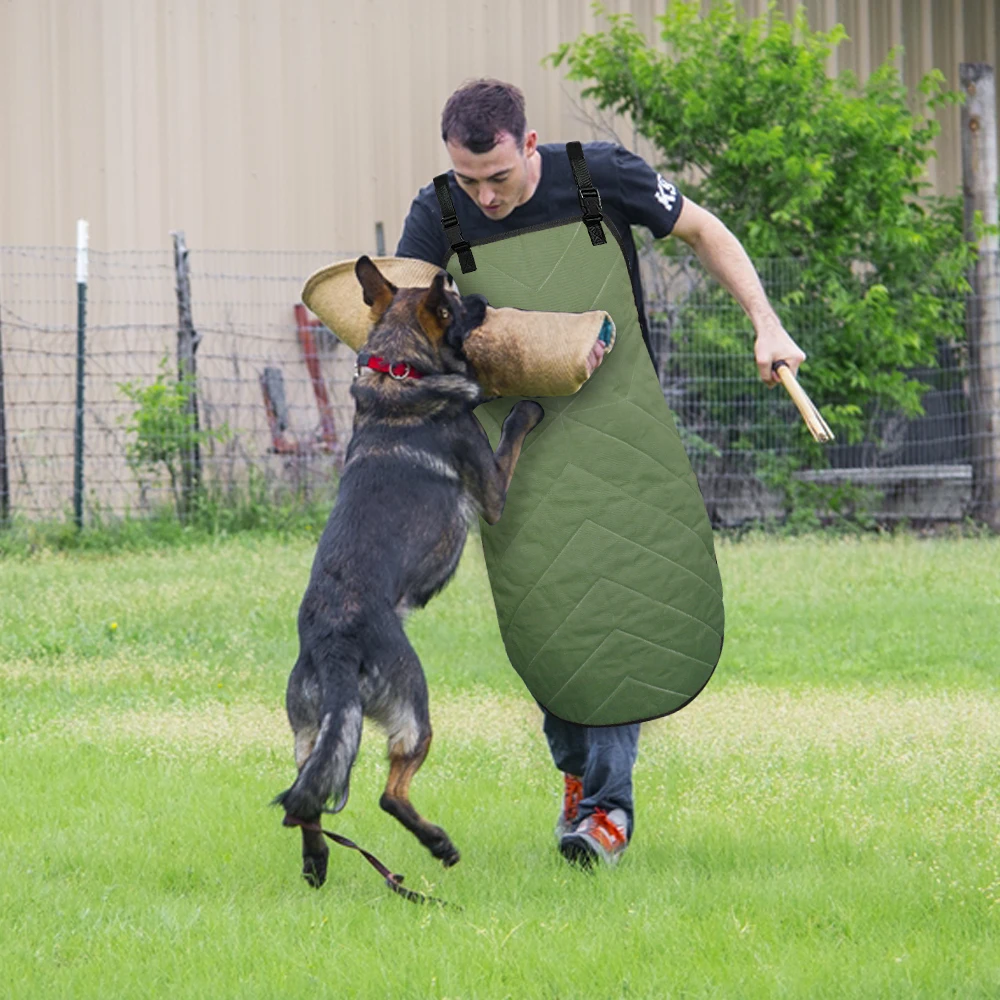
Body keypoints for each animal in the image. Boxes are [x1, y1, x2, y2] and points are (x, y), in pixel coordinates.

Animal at [274, 254, 544, 888]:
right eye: (456, 304)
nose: (483, 299)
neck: (398, 374)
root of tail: (334, 646)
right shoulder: (492, 490)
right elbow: (511, 433)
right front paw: (525, 407)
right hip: (415, 708)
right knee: (388, 794)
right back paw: (438, 844)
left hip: (310, 730)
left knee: (308, 802)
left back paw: (318, 863)